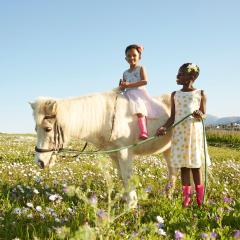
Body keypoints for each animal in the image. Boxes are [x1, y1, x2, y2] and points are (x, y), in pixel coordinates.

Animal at [29, 90, 176, 208]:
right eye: (35, 129)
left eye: (48, 129)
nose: (39, 162)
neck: (107, 118)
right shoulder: (114, 154)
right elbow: (121, 176)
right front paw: (125, 198)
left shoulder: (124, 152)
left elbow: (127, 176)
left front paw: (131, 204)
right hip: (168, 150)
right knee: (172, 171)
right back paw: (168, 195)